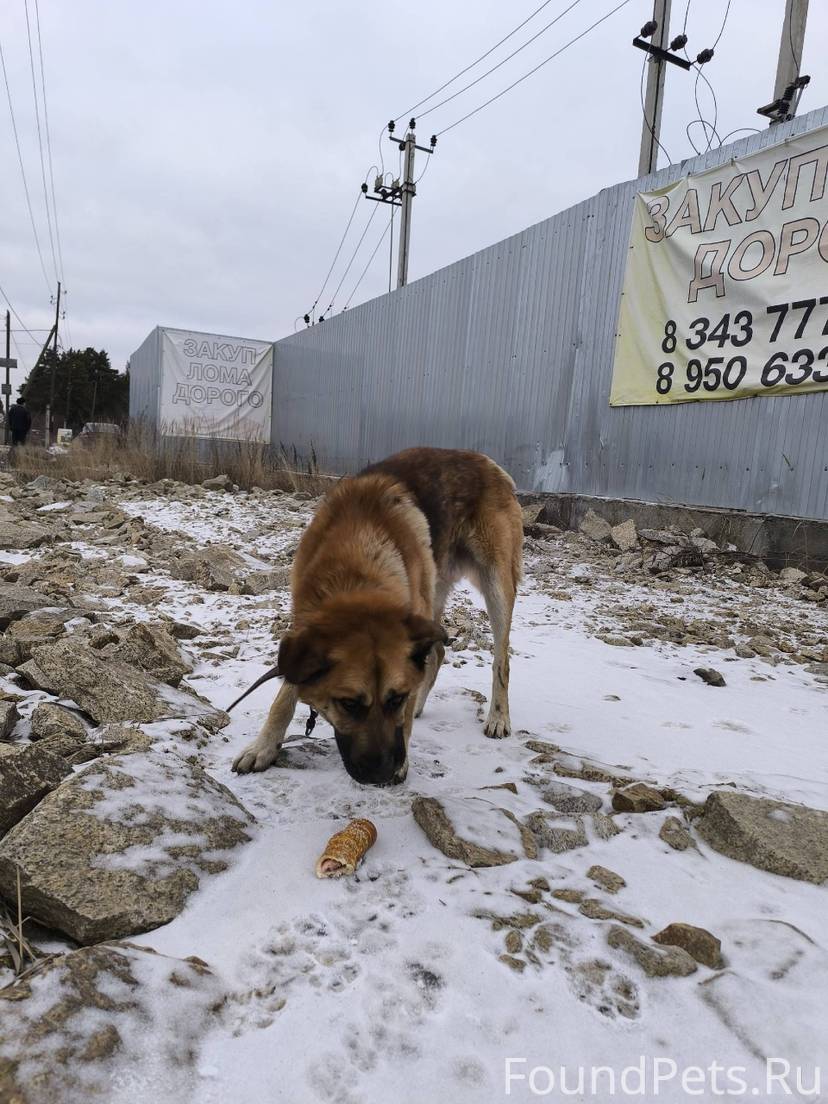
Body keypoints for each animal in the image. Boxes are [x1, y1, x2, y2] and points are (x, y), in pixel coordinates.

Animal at [231, 447, 523, 786]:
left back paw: (498, 717)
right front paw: (263, 747)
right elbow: (284, 696)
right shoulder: (304, 634)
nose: (381, 774)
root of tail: (487, 461)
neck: (355, 564)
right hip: (434, 589)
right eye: (348, 705)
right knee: (436, 652)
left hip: (495, 584)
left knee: (501, 660)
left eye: (396, 699)